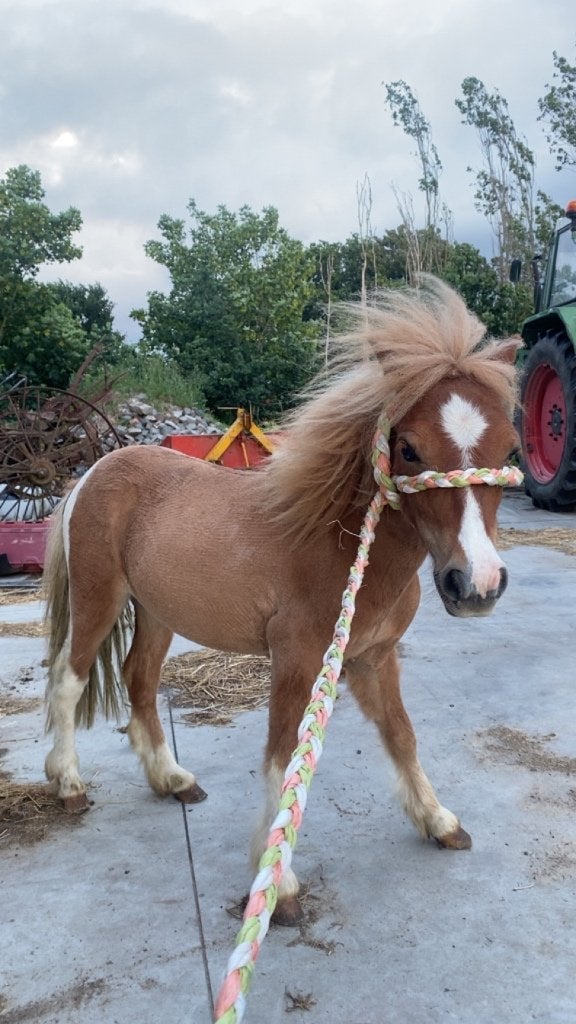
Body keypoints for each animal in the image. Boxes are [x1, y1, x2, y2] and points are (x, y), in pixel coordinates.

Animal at [43, 277, 521, 925]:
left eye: (511, 448)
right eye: (409, 449)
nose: (476, 584)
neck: (343, 543)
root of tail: (94, 471)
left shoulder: (373, 659)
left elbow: (401, 735)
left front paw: (437, 820)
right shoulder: (298, 661)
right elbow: (283, 756)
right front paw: (280, 883)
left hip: (158, 613)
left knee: (138, 680)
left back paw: (170, 779)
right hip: (100, 599)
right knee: (69, 680)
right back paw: (68, 783)